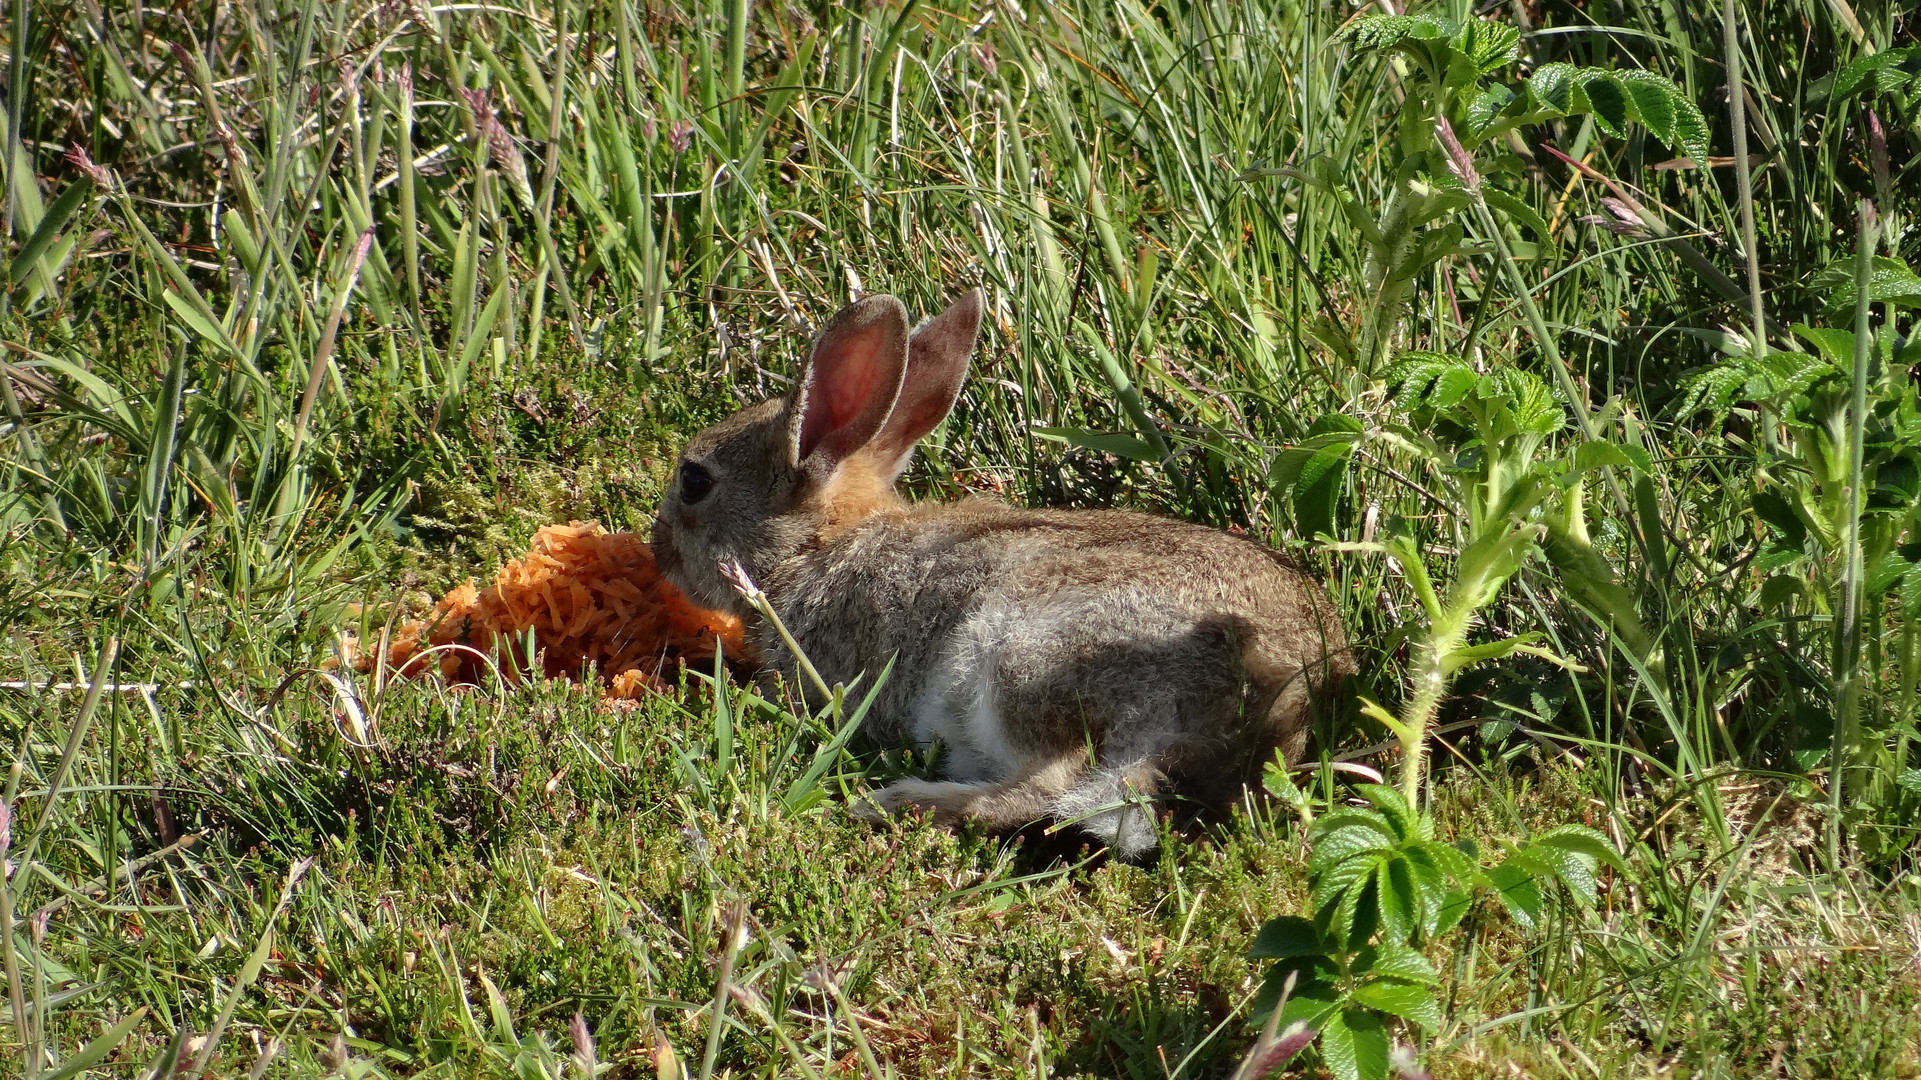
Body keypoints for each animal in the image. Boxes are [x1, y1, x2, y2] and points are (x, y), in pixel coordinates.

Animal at [653, 290, 1360, 853]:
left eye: (694, 482)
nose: (658, 552)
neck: (821, 545)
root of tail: (1271, 701)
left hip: (1020, 659)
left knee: (1045, 787)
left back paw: (897, 802)